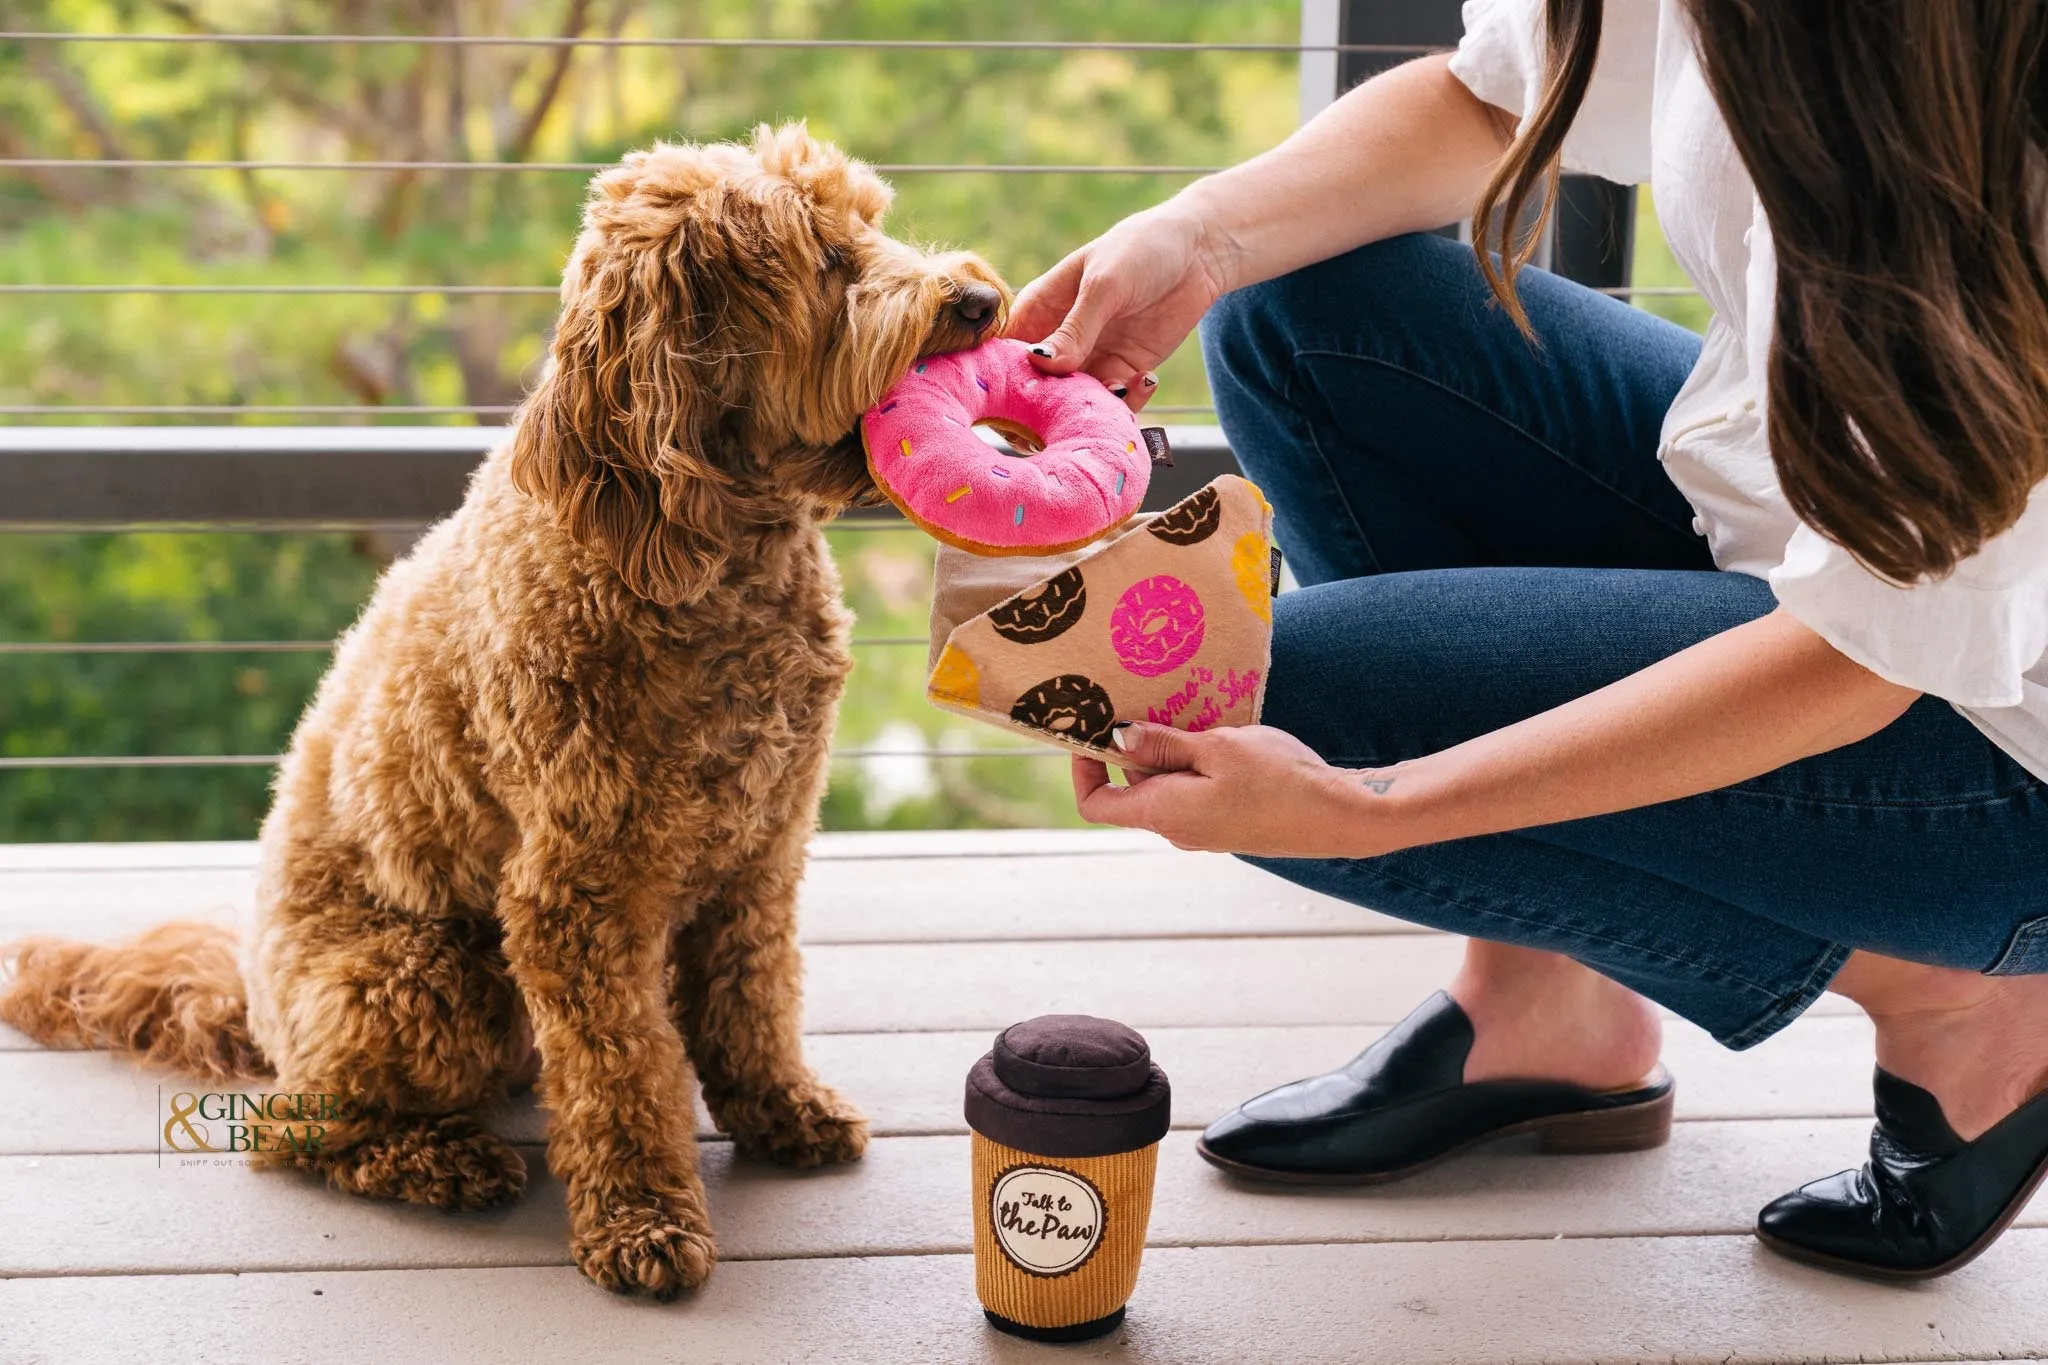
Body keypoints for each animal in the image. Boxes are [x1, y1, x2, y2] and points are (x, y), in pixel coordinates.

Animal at [0, 122, 1007, 1301]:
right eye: (828, 264)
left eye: (873, 223)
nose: (979, 299)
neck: (706, 555)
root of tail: (251, 1002)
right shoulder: (579, 888)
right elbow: (622, 1071)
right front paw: (642, 1218)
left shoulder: (761, 849)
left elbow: (752, 1000)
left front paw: (779, 1111)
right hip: (428, 980)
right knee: (294, 1129)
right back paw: (443, 1161)